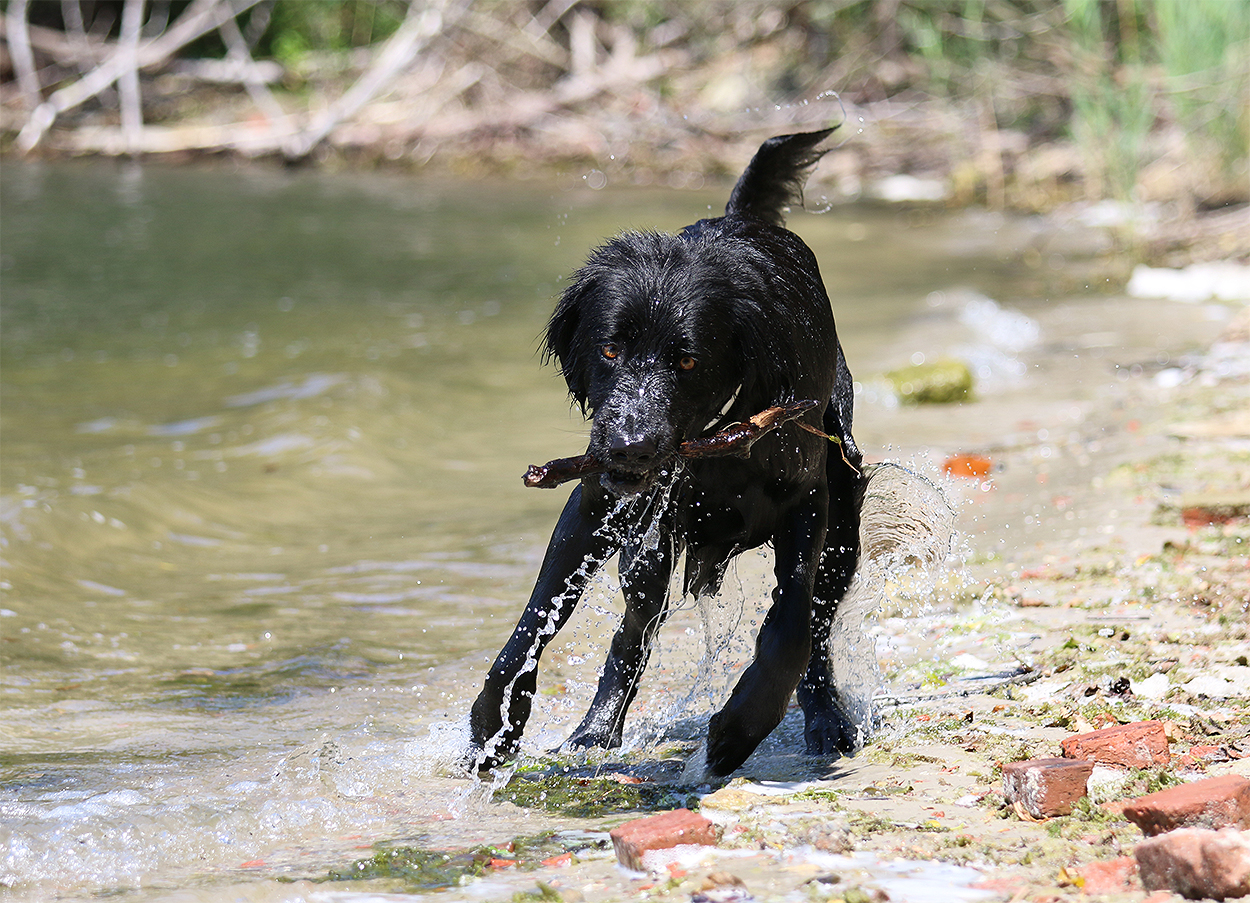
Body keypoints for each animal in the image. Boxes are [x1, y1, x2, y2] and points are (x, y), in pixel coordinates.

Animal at [468, 127, 866, 778]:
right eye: (608, 350)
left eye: (687, 360)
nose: (630, 448)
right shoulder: (594, 502)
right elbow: (535, 621)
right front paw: (494, 720)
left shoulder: (806, 501)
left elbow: (791, 626)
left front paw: (738, 728)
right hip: (646, 547)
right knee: (632, 632)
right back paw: (593, 733)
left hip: (844, 525)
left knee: (818, 623)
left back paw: (826, 719)